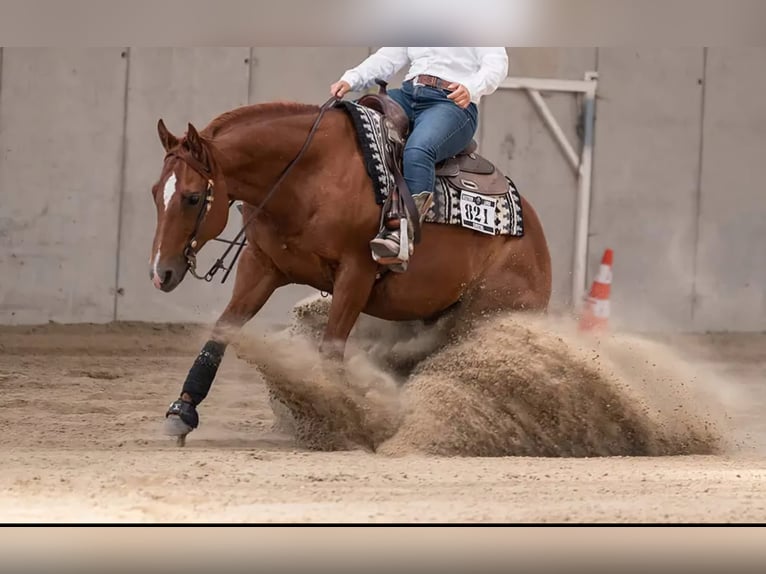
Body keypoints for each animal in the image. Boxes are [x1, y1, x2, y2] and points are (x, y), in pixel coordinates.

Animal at [149, 94, 552, 444]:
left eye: (192, 197)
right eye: (156, 193)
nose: (160, 273)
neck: (308, 176)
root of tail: (536, 240)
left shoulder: (355, 274)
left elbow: (330, 351)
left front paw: (341, 419)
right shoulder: (261, 266)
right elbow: (222, 331)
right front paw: (182, 411)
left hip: (488, 313)